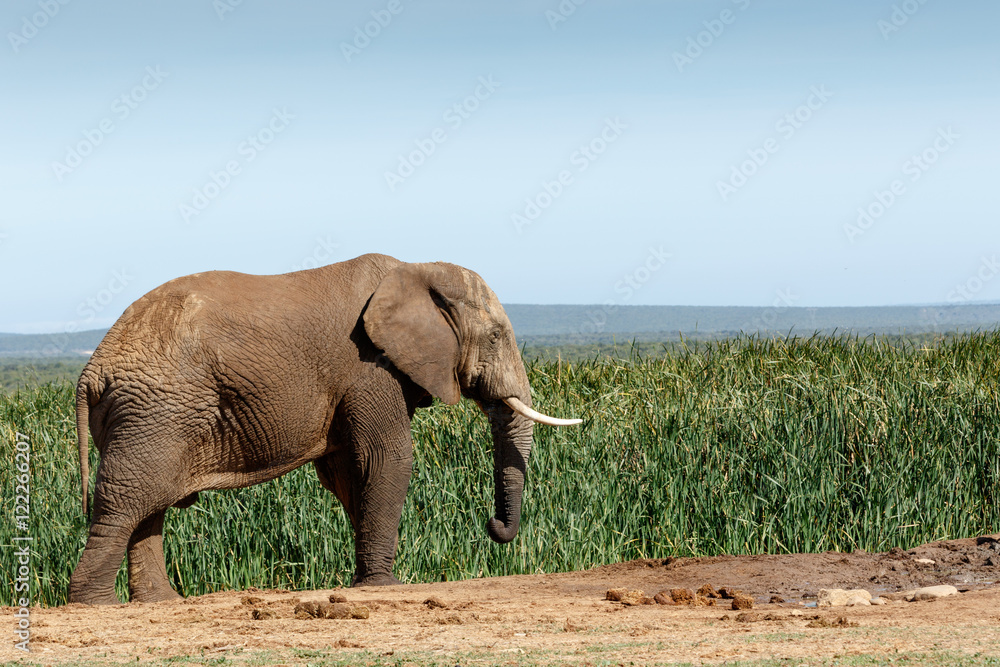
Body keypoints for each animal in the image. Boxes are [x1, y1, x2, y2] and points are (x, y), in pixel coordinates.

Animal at [68, 253, 581, 605]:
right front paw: (385, 585)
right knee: (129, 498)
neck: (416, 270)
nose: (493, 525)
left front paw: (364, 581)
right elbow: (388, 457)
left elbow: (347, 474)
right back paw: (96, 604)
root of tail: (92, 369)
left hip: (150, 414)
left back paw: (161, 602)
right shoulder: (369, 365)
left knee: (151, 503)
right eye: (495, 337)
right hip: (155, 409)